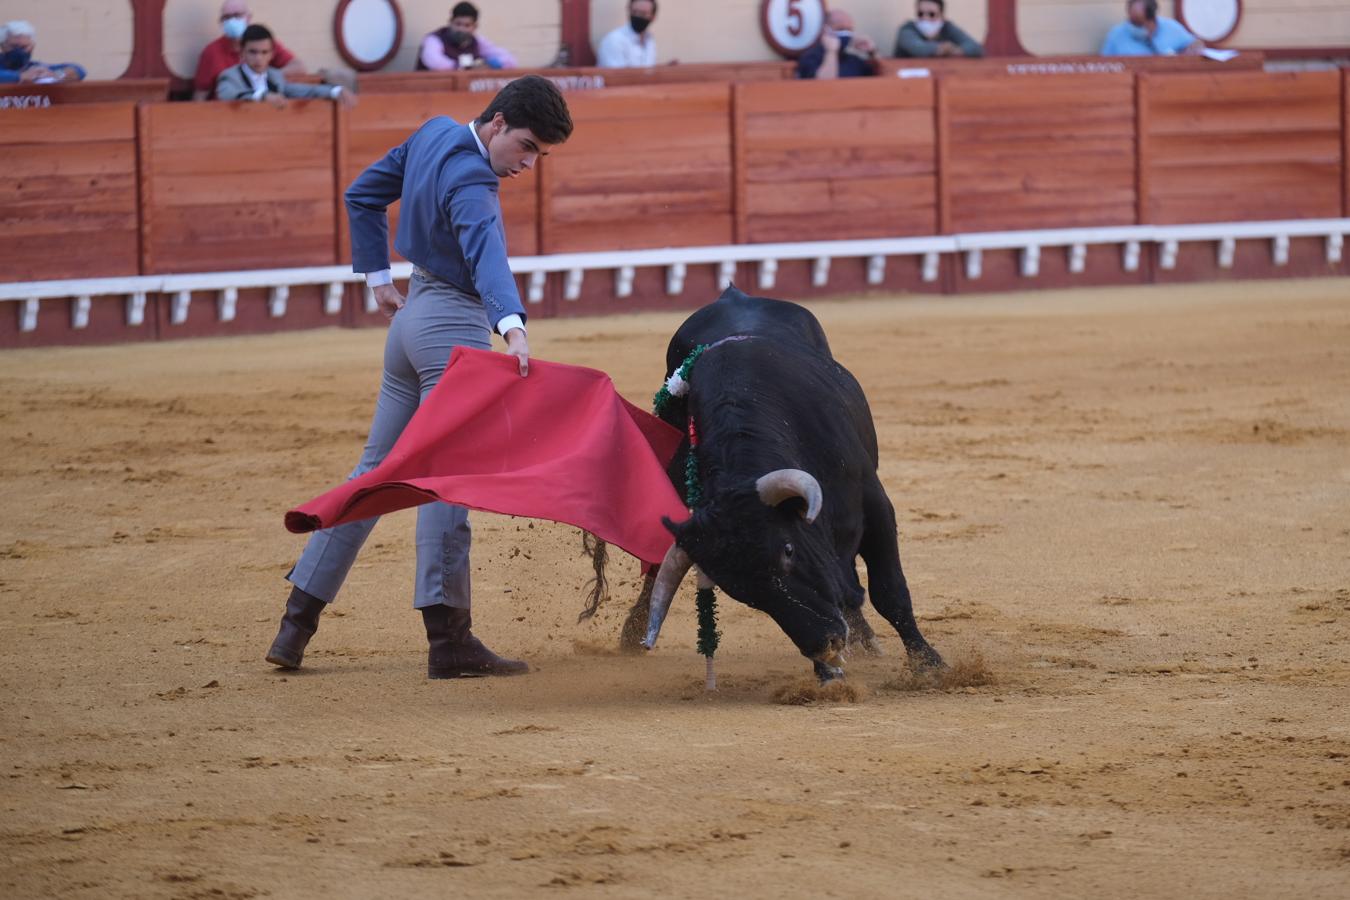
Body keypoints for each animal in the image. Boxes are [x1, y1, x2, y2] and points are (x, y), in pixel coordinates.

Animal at [607, 284, 945, 680]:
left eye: (787, 550)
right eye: (743, 592)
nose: (824, 644)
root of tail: (734, 294)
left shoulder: (874, 504)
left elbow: (889, 590)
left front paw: (928, 664)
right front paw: (827, 671)